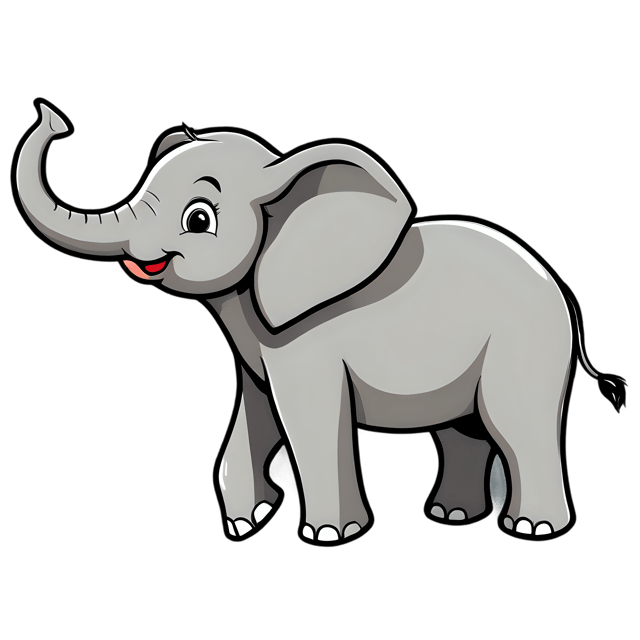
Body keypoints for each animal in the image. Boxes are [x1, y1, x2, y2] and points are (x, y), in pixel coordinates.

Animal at [11, 99, 628, 547]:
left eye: (199, 219)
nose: (55, 118)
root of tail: (564, 291)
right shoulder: (259, 346)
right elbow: (253, 415)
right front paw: (245, 524)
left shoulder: (307, 339)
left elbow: (306, 419)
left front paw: (329, 537)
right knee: (461, 429)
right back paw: (449, 517)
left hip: (527, 344)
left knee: (515, 424)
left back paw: (532, 529)